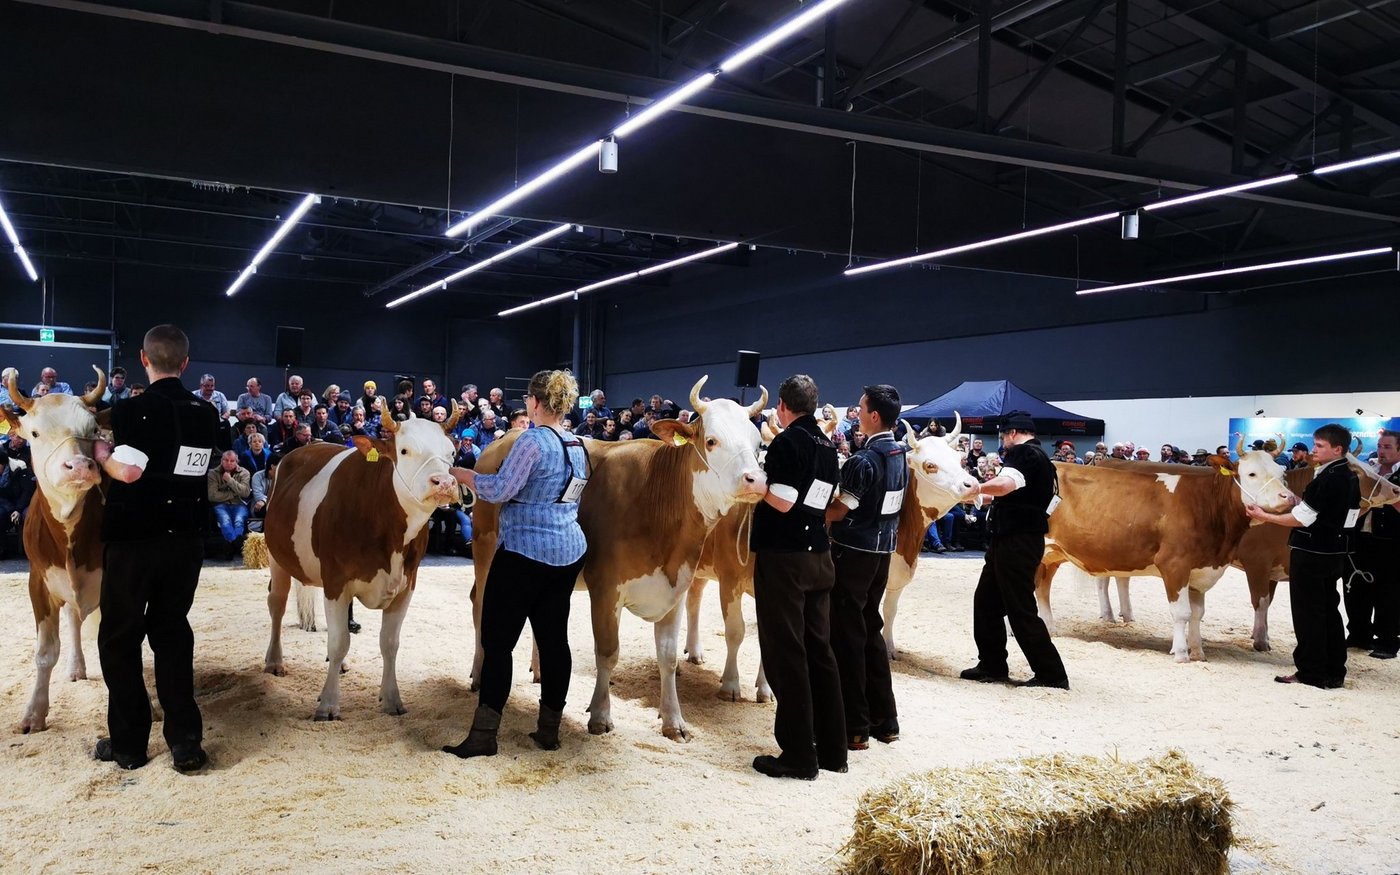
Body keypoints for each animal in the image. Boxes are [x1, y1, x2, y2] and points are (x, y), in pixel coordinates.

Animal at [4, 368, 108, 733]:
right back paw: (76, 667)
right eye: (34, 432)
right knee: (74, 618)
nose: (79, 466)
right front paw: (34, 713)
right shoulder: (39, 581)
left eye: (92, 431)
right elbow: (46, 652)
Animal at [262, 399, 462, 720]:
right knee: (277, 605)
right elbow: (339, 641)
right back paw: (274, 661)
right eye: (404, 450)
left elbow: (389, 643)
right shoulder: (336, 580)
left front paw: (392, 699)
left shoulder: (406, 584)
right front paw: (329, 704)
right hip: (276, 557)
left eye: (450, 453)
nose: (443, 482)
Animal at [470, 377, 766, 741]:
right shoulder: (606, 589)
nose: (756, 480)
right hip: (485, 554)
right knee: (480, 606)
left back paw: (538, 672)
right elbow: (608, 652)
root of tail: (508, 437)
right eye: (711, 441)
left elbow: (668, 658)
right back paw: (478, 674)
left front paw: (674, 720)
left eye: (757, 444)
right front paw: (600, 714)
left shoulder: (675, 588)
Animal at [1033, 442, 1298, 662]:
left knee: (1043, 588)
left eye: (1281, 474)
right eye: (1251, 473)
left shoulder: (1199, 570)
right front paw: (1180, 653)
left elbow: (1197, 613)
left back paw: (1049, 628)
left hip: (1052, 555)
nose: (1289, 498)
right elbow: (1181, 613)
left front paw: (1198, 651)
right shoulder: (1175, 564)